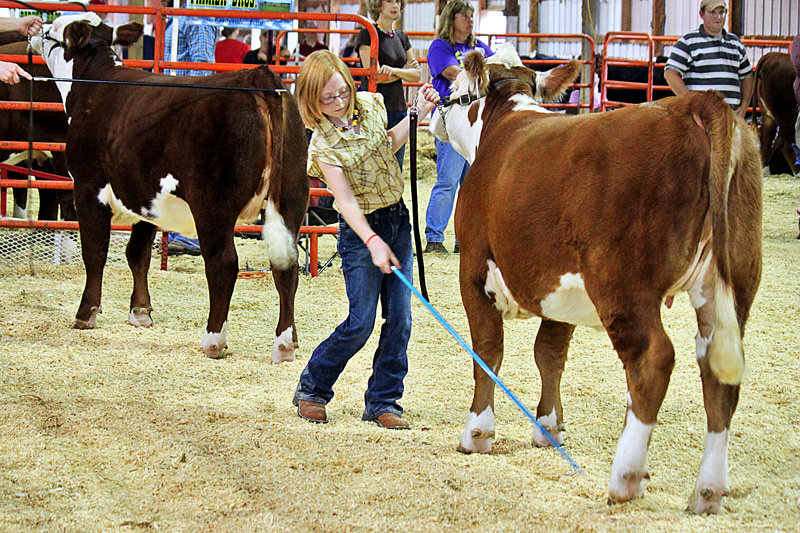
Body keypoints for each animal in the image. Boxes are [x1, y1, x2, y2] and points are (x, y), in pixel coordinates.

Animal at [30, 13, 310, 362]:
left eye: (56, 28)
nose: (34, 27)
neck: (95, 83)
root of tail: (259, 75)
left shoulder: (88, 185)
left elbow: (95, 253)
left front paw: (86, 314)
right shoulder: (144, 196)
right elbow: (137, 253)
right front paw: (140, 312)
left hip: (213, 204)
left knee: (223, 263)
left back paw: (213, 340)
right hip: (292, 198)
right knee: (286, 266)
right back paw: (286, 343)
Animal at [432, 44, 764, 512]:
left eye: (457, 91)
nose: (433, 108)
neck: (502, 125)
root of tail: (694, 104)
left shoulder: (475, 270)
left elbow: (488, 352)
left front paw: (477, 433)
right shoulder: (558, 288)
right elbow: (549, 354)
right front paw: (549, 428)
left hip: (623, 287)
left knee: (652, 360)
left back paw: (626, 477)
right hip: (731, 284)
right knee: (718, 376)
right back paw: (708, 491)